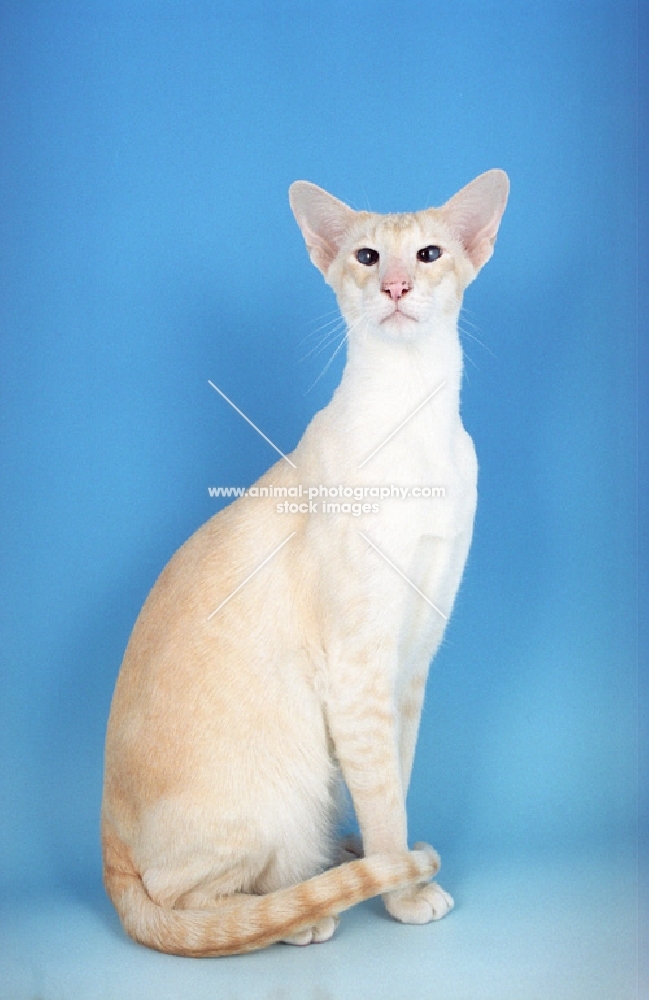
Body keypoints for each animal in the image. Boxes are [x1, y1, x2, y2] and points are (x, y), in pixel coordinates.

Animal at [101, 170, 508, 952]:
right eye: (368, 257)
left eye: (429, 254)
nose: (396, 287)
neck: (416, 423)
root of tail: (108, 848)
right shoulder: (358, 668)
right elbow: (386, 806)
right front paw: (404, 893)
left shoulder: (408, 663)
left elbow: (395, 784)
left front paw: (395, 871)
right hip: (280, 791)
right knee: (191, 904)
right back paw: (304, 911)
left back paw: (338, 859)